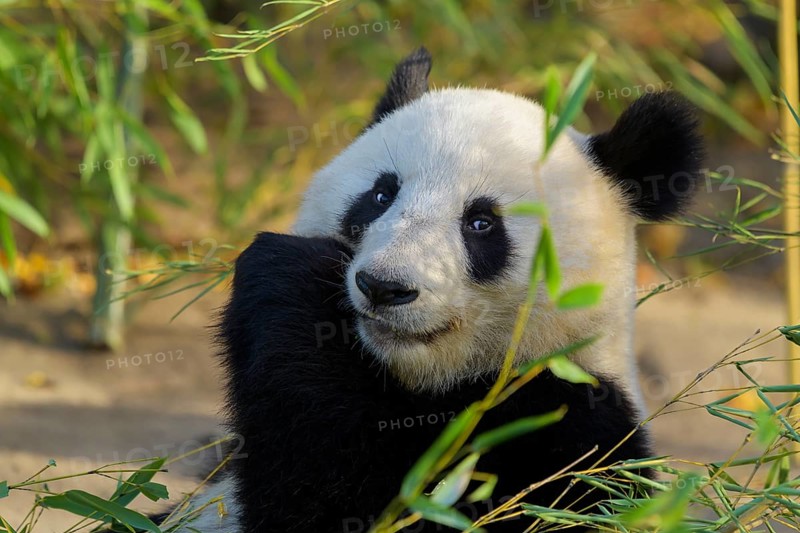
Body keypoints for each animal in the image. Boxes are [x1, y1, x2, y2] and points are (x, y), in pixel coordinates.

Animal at [175, 47, 704, 533]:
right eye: (380, 195)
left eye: (482, 223)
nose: (383, 287)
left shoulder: (568, 434)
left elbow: (348, 498)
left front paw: (287, 270)